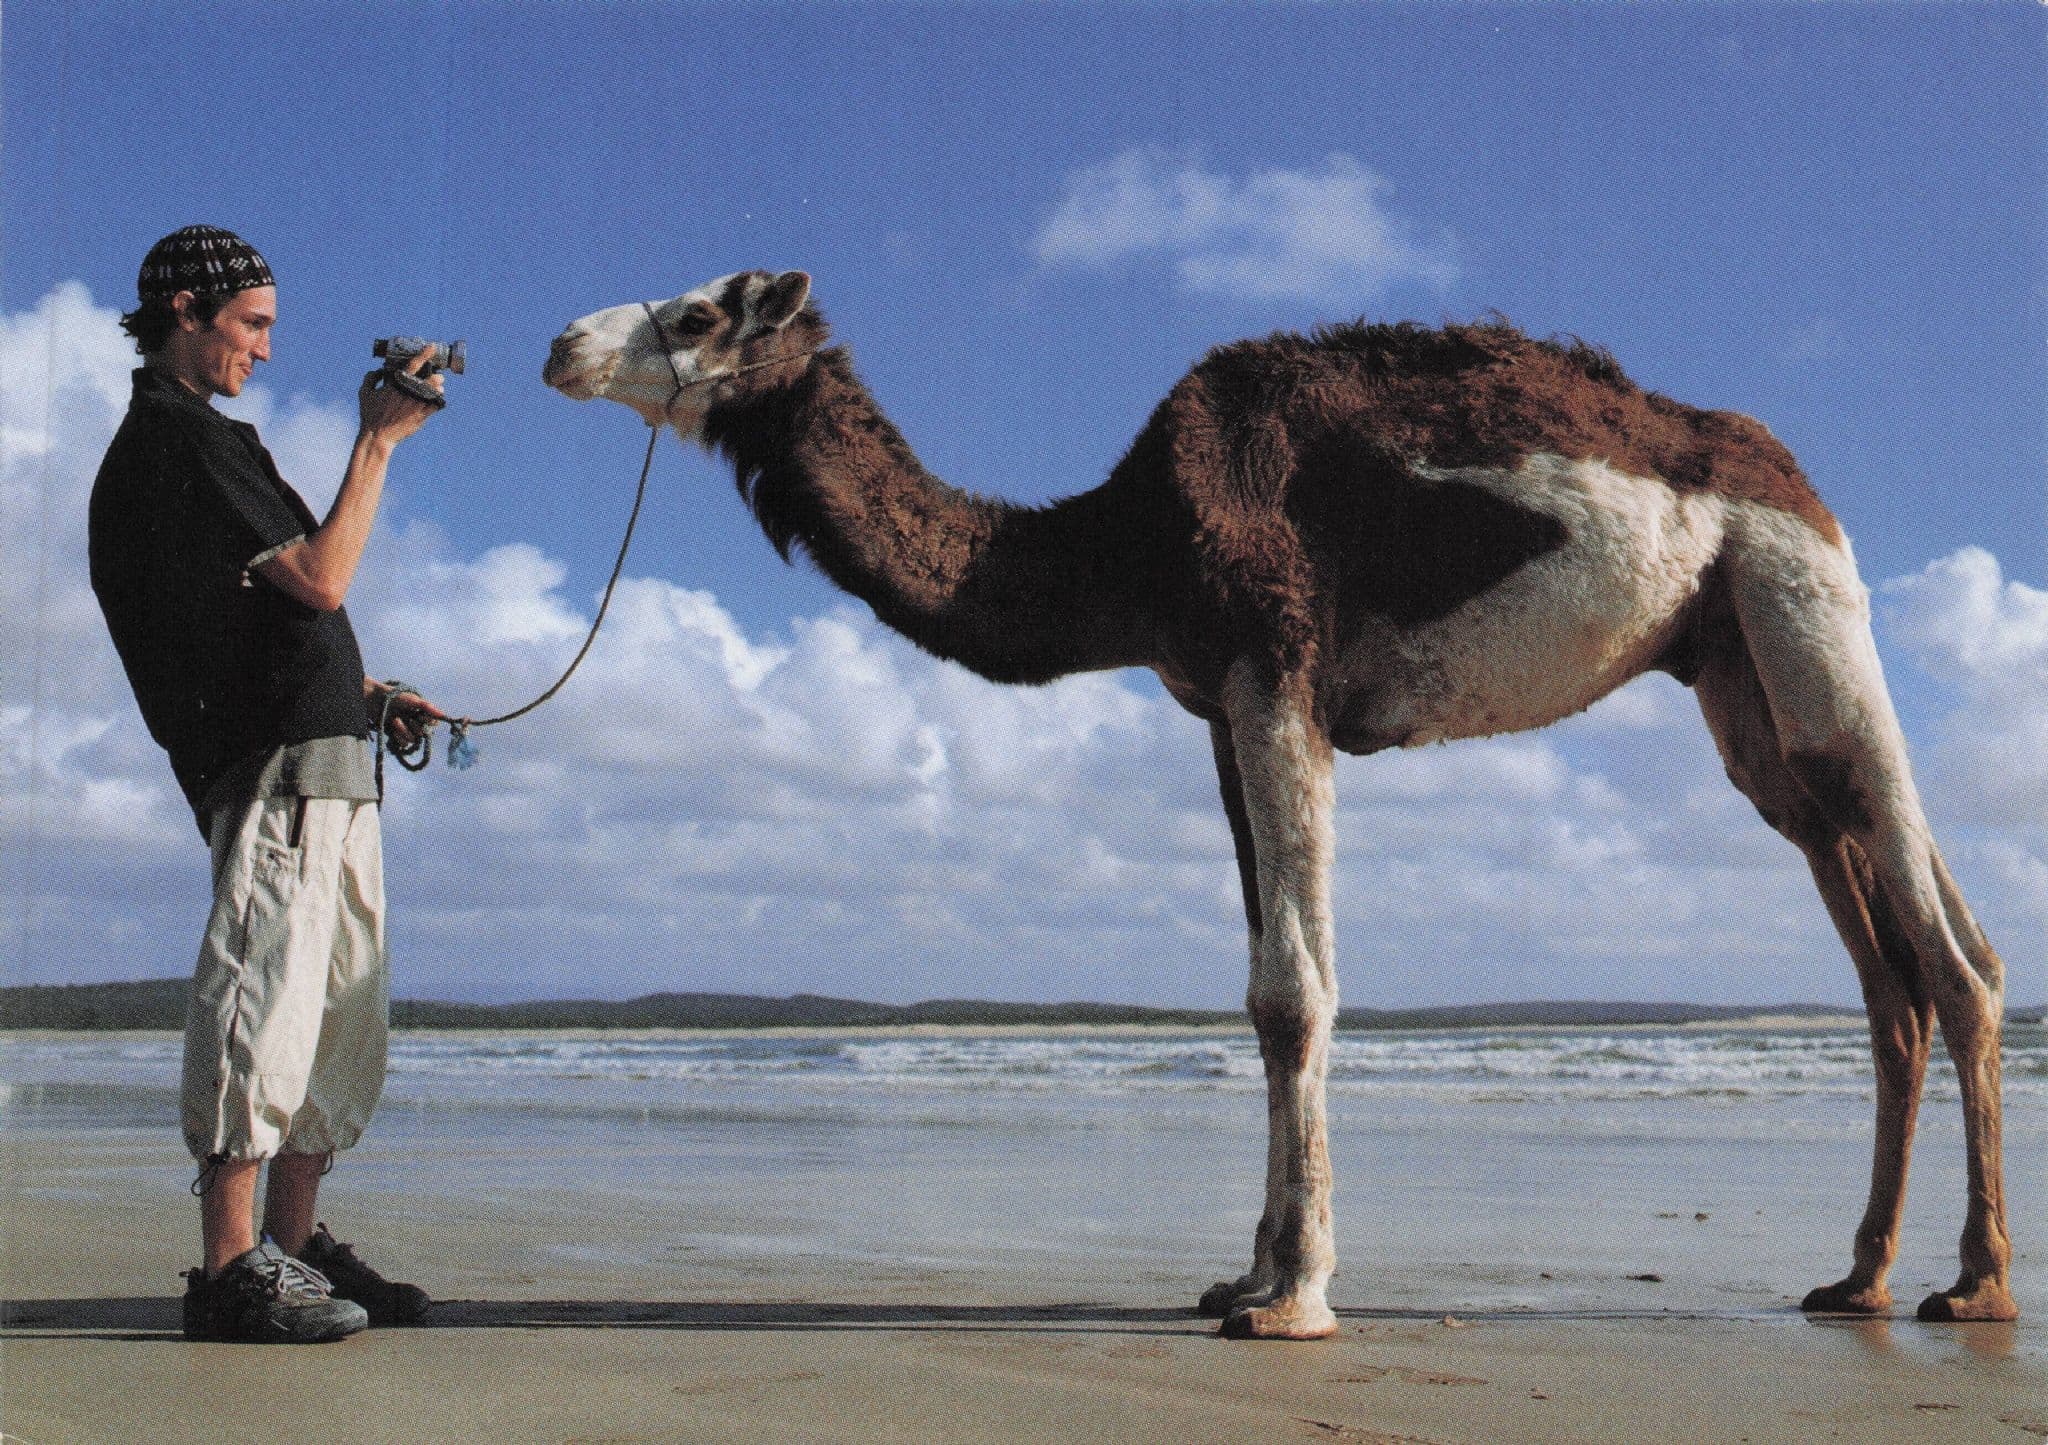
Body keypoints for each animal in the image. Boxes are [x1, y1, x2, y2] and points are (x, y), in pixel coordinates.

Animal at [542, 270, 2014, 1337]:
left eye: (698, 312)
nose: (561, 342)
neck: (1123, 535)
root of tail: (1793, 476)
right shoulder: (1215, 704)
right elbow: (1257, 985)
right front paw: (1241, 1276)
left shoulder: (1274, 669)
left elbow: (1294, 990)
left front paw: (1295, 1298)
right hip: (1734, 674)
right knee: (1877, 945)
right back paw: (1858, 1279)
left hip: (1804, 607)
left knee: (1947, 946)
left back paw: (1974, 1282)